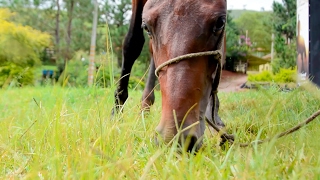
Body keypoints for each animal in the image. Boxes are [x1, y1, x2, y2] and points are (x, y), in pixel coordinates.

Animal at [114, 0, 228, 152]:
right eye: (146, 27)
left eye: (220, 23)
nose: (175, 137)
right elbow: (132, 43)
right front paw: (116, 113)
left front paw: (214, 116)